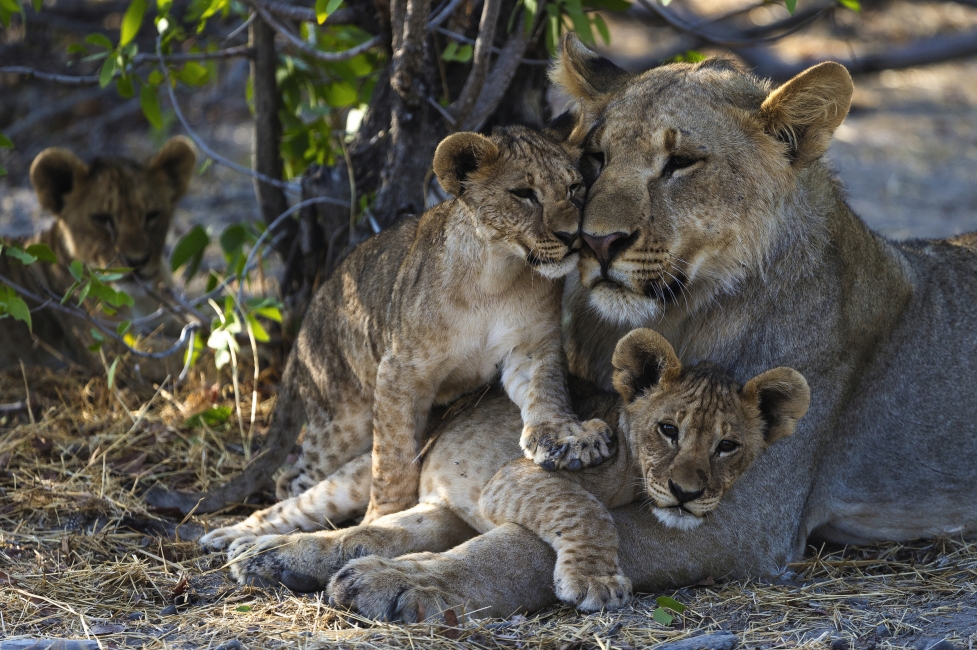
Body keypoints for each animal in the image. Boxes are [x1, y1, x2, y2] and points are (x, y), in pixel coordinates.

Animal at [0, 137, 196, 377]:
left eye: (152, 215)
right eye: (102, 218)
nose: (136, 261)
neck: (137, 300)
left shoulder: (168, 316)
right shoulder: (112, 351)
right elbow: (188, 352)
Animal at [149, 125, 613, 525]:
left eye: (574, 187)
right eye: (523, 194)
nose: (573, 236)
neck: (497, 275)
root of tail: (301, 337)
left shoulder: (532, 346)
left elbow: (546, 390)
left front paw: (565, 436)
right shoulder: (399, 371)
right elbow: (392, 457)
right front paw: (384, 516)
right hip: (341, 423)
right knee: (291, 476)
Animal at [222, 328, 809, 614]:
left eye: (728, 446)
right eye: (668, 429)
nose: (687, 493)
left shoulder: (464, 506)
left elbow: (379, 539)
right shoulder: (512, 477)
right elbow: (585, 508)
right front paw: (594, 580)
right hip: (360, 474)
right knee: (298, 500)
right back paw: (231, 538)